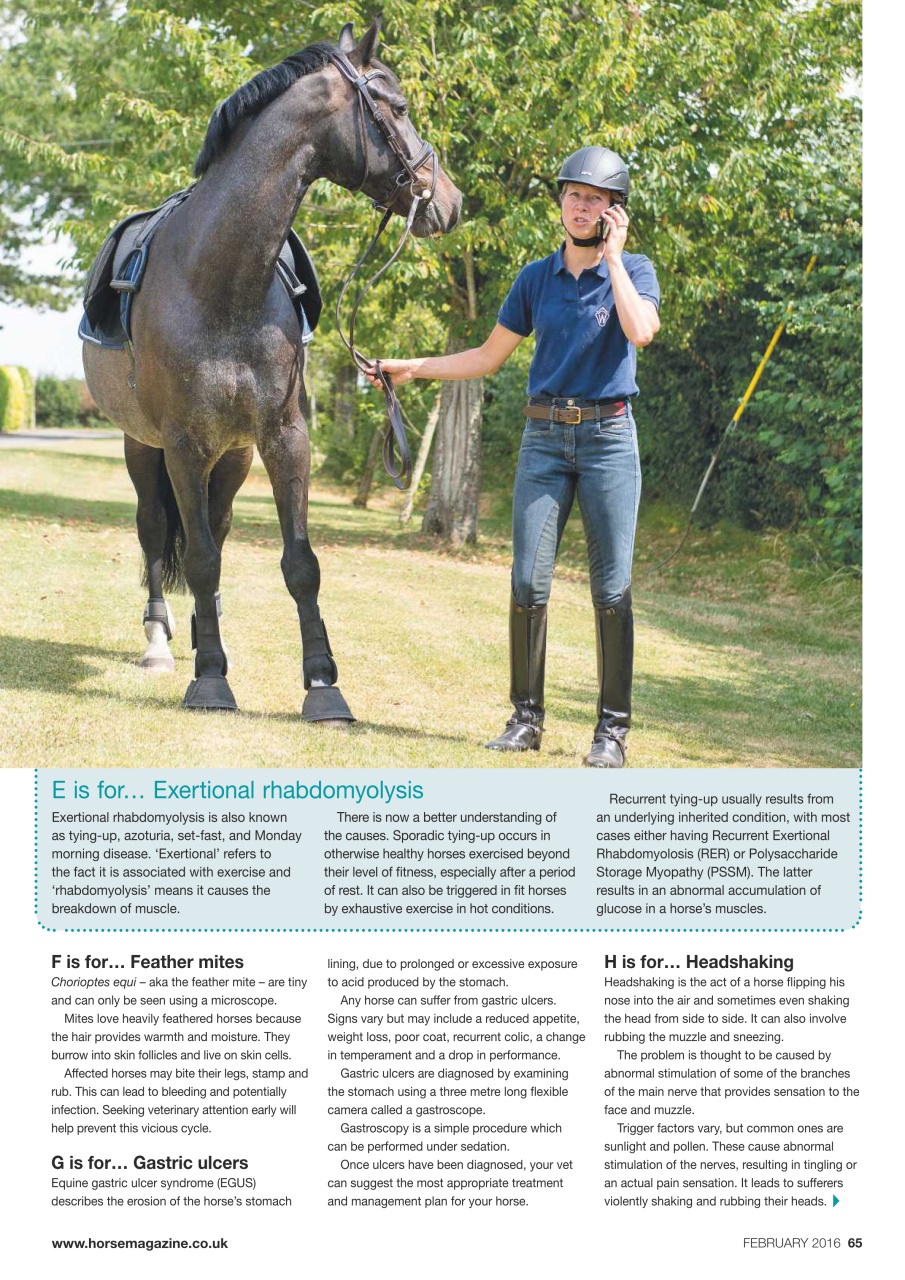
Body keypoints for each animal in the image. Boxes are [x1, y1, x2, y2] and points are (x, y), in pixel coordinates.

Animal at [81, 19, 462, 719]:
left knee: (218, 528)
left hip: (231, 455)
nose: (447, 202)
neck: (221, 280)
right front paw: (209, 680)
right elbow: (198, 559)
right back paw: (162, 643)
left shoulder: (284, 438)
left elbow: (297, 562)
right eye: (396, 107)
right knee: (156, 530)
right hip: (143, 446)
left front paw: (324, 684)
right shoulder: (181, 444)